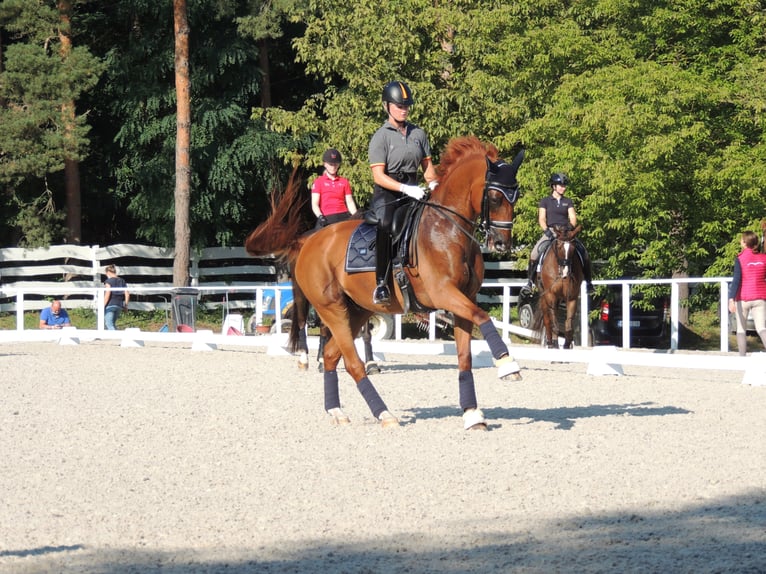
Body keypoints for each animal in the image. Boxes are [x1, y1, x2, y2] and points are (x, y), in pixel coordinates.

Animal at [246, 136, 528, 432]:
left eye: (516, 195)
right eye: (494, 197)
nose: (501, 244)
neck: (446, 230)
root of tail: (308, 241)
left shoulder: (465, 299)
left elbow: (465, 357)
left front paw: (473, 415)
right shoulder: (443, 293)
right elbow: (483, 316)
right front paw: (508, 364)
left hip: (357, 310)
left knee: (334, 355)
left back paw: (336, 411)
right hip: (331, 309)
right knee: (349, 361)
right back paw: (383, 413)